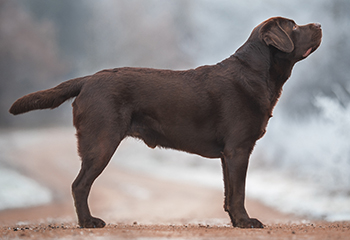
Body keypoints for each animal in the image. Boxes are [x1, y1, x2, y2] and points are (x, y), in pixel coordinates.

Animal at [8, 17, 320, 229]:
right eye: (293, 27)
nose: (318, 25)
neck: (257, 73)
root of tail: (87, 80)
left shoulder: (227, 155)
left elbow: (229, 192)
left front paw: (235, 221)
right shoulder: (239, 149)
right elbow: (240, 192)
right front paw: (245, 222)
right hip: (102, 141)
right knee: (79, 185)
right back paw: (88, 222)